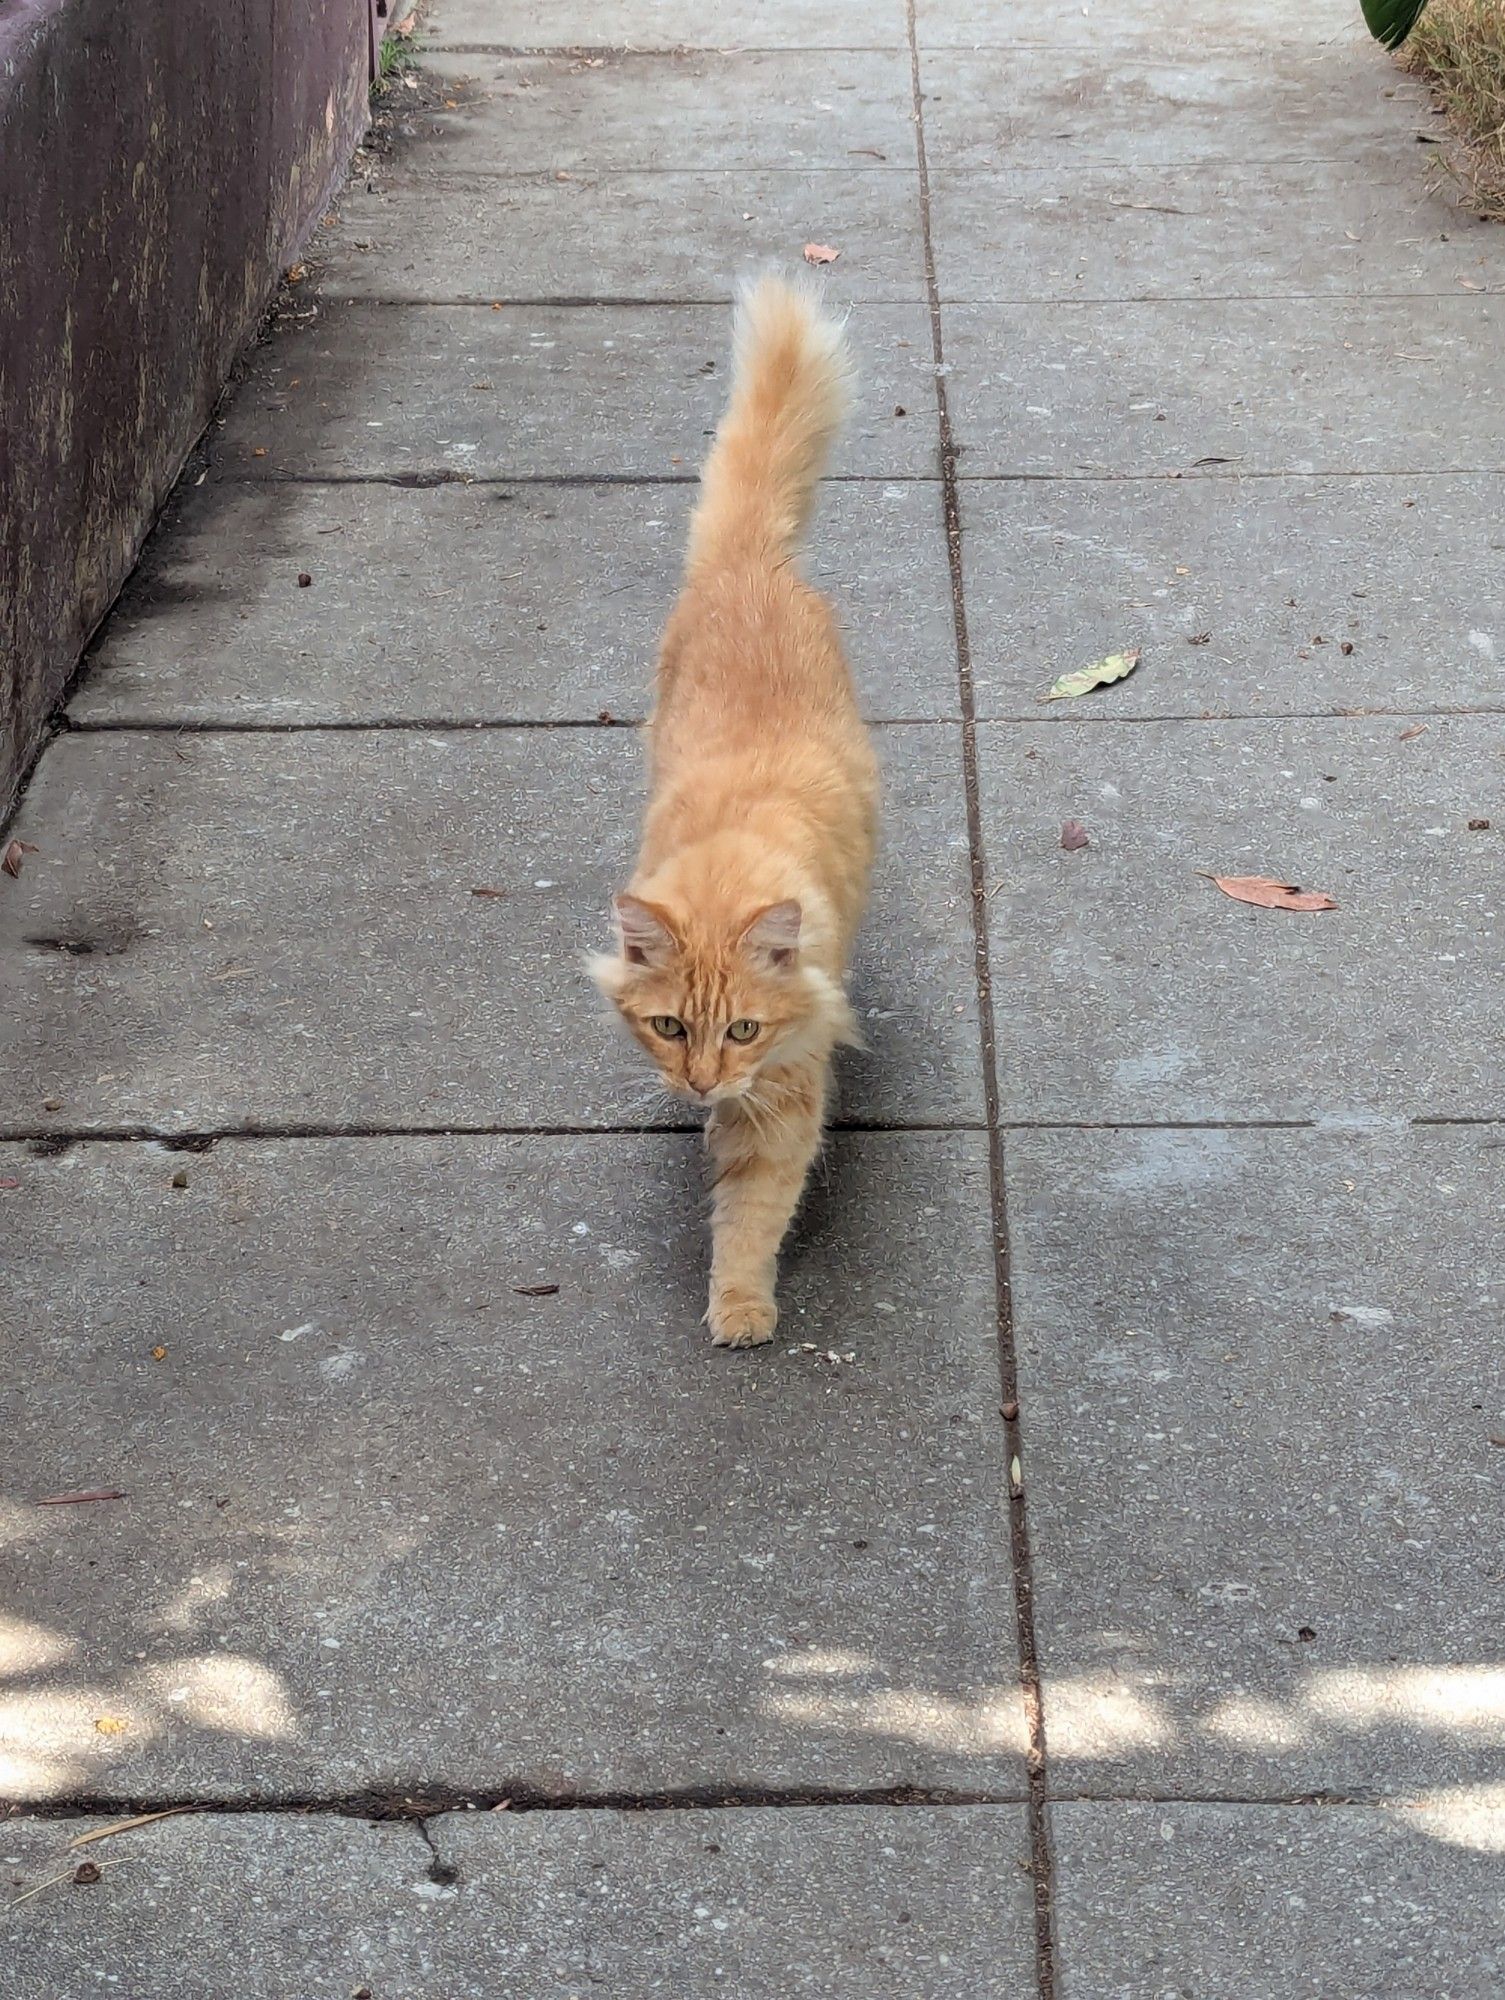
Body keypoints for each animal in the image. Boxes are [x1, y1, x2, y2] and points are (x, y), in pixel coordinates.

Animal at [592, 274, 876, 1352]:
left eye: (744, 1029)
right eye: (671, 1027)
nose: (704, 1084)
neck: (724, 873)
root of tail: (745, 564)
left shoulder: (785, 1091)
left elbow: (753, 1209)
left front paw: (743, 1307)